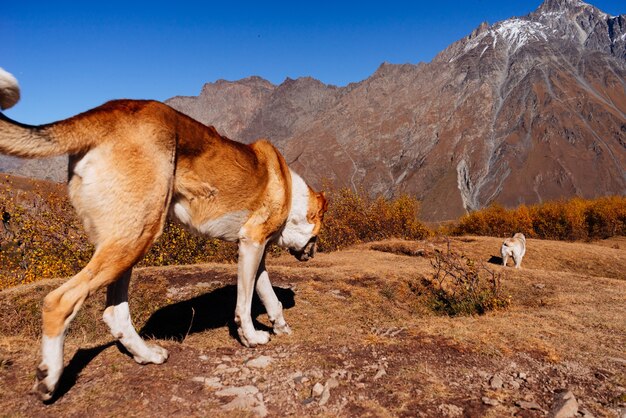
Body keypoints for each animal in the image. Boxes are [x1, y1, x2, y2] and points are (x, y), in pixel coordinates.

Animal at [0, 69, 330, 402]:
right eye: (318, 230)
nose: (313, 253)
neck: (290, 192)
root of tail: (103, 112)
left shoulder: (253, 248)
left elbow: (265, 294)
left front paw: (279, 326)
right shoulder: (252, 243)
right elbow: (244, 304)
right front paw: (250, 337)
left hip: (128, 241)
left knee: (115, 313)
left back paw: (146, 355)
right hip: (137, 235)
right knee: (59, 301)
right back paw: (49, 378)